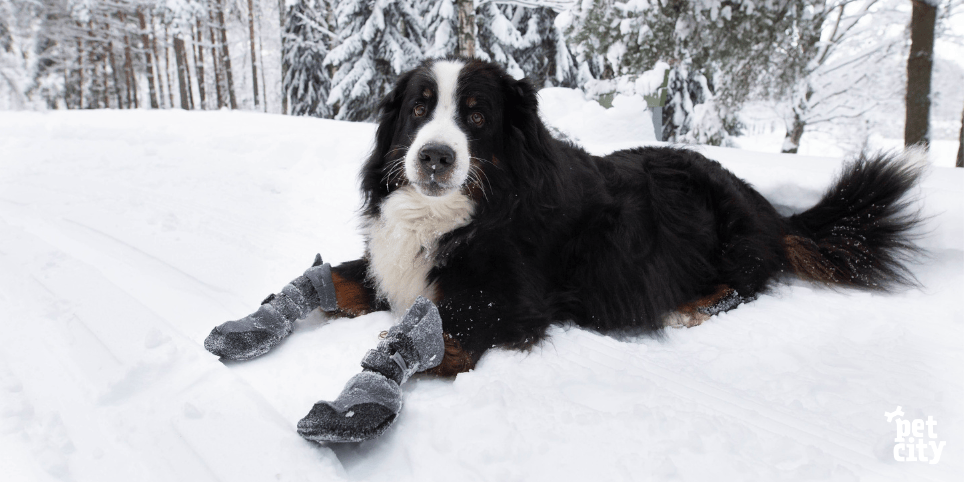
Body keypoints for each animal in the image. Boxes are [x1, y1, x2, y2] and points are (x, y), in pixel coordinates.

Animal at [316, 57, 920, 376]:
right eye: (419, 108)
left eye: (478, 117)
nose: (435, 157)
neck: (455, 213)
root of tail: (769, 208)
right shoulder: (393, 262)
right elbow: (341, 277)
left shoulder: (509, 299)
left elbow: (446, 333)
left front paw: (391, 355)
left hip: (730, 241)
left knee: (740, 286)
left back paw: (686, 309)